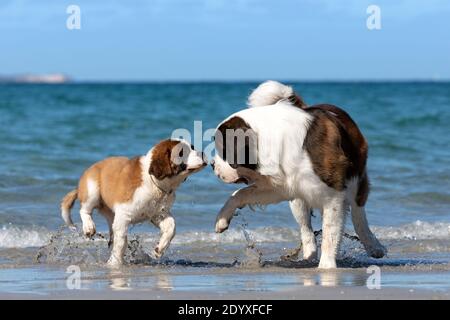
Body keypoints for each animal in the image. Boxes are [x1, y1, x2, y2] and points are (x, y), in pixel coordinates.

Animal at [60, 139, 207, 266]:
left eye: (192, 147)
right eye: (182, 152)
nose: (203, 153)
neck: (153, 181)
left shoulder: (158, 214)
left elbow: (171, 226)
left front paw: (159, 249)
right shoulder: (123, 214)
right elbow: (121, 241)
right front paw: (115, 263)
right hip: (92, 189)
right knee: (85, 210)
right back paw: (89, 227)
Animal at [212, 80, 386, 268]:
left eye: (222, 150)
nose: (212, 165)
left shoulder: (334, 194)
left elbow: (331, 232)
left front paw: (326, 267)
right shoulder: (281, 187)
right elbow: (240, 194)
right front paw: (222, 219)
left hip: (357, 180)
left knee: (358, 214)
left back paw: (374, 246)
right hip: (298, 201)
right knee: (306, 227)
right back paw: (308, 256)